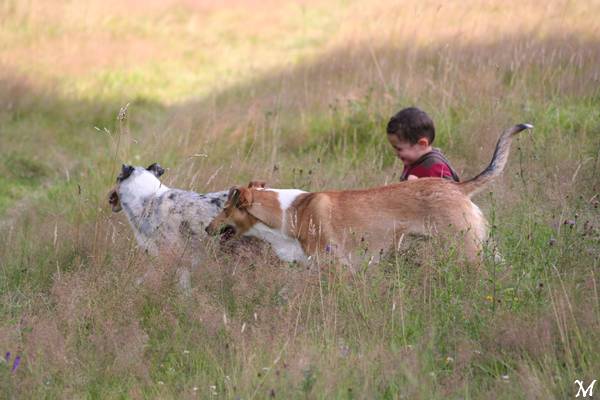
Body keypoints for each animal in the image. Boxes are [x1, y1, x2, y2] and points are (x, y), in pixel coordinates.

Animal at [207, 122, 536, 266]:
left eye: (224, 208)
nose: (207, 229)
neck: (290, 213)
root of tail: (456, 186)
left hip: (465, 247)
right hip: (479, 244)